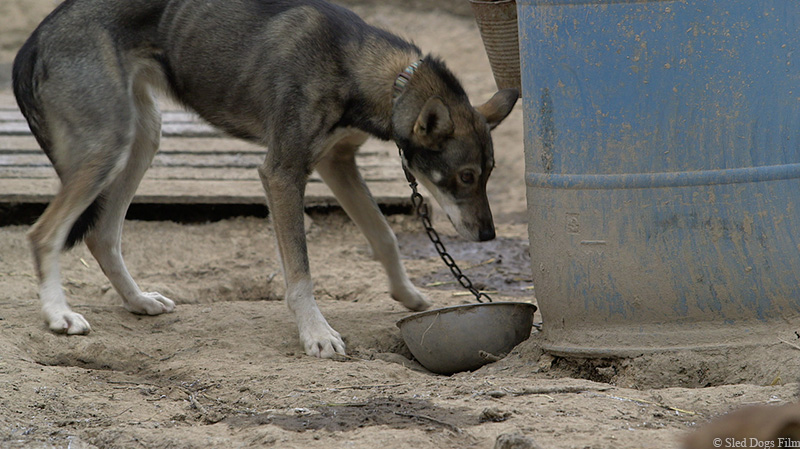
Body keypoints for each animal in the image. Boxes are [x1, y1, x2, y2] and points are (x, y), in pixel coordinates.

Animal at [12, 0, 520, 356]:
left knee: (101, 234)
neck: (358, 64)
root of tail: (35, 36)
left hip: (142, 140)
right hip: (108, 146)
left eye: (489, 175)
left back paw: (138, 301)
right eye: (466, 176)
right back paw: (58, 314)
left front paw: (408, 293)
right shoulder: (282, 174)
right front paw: (316, 333)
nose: (488, 235)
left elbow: (384, 236)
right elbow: (301, 271)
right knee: (43, 234)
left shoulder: (337, 164)